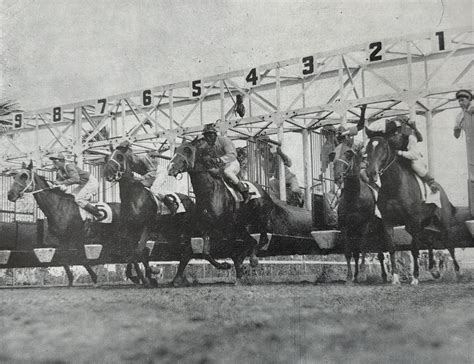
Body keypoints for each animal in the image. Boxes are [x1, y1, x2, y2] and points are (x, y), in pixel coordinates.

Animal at [103, 143, 231, 288]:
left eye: (119, 156)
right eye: (107, 158)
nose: (107, 172)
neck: (134, 197)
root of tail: (191, 201)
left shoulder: (147, 226)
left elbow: (139, 251)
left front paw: (152, 273)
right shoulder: (130, 231)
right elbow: (133, 253)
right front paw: (140, 277)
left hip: (189, 229)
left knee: (192, 249)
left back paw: (219, 266)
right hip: (172, 232)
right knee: (185, 251)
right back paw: (180, 278)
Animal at [168, 138, 274, 280]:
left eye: (187, 150)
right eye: (176, 150)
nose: (170, 167)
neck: (210, 192)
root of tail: (264, 192)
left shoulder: (226, 230)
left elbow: (230, 251)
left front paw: (235, 268)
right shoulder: (207, 228)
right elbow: (205, 253)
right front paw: (225, 265)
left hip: (258, 222)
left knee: (261, 240)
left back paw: (253, 260)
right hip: (242, 226)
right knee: (253, 241)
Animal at [330, 141, 388, 282]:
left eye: (348, 155)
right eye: (333, 158)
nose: (338, 177)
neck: (354, 197)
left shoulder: (365, 226)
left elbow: (363, 248)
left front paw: (362, 274)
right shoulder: (346, 227)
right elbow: (348, 252)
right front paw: (349, 276)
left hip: (378, 230)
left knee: (380, 254)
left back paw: (384, 275)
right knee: (357, 254)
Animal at [364, 134, 462, 284]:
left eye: (384, 148)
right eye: (368, 148)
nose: (371, 172)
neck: (395, 186)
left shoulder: (413, 219)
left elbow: (414, 248)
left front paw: (415, 277)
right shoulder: (388, 221)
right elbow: (391, 247)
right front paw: (395, 278)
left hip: (443, 223)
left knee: (450, 245)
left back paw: (457, 273)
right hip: (422, 224)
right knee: (429, 241)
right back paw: (433, 270)